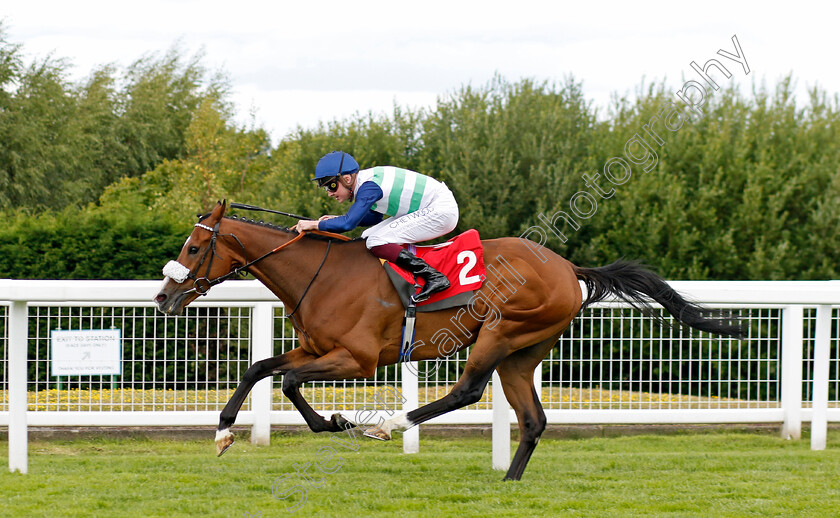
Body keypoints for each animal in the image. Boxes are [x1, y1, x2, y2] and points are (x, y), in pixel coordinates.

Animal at [153, 202, 740, 484]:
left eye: (195, 246)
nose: (162, 296)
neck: (321, 274)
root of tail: (567, 266)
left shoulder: (358, 360)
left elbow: (291, 382)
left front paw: (337, 423)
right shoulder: (317, 348)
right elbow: (260, 368)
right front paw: (223, 433)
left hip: (501, 331)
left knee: (467, 392)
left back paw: (389, 426)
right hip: (522, 353)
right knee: (533, 419)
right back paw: (508, 482)